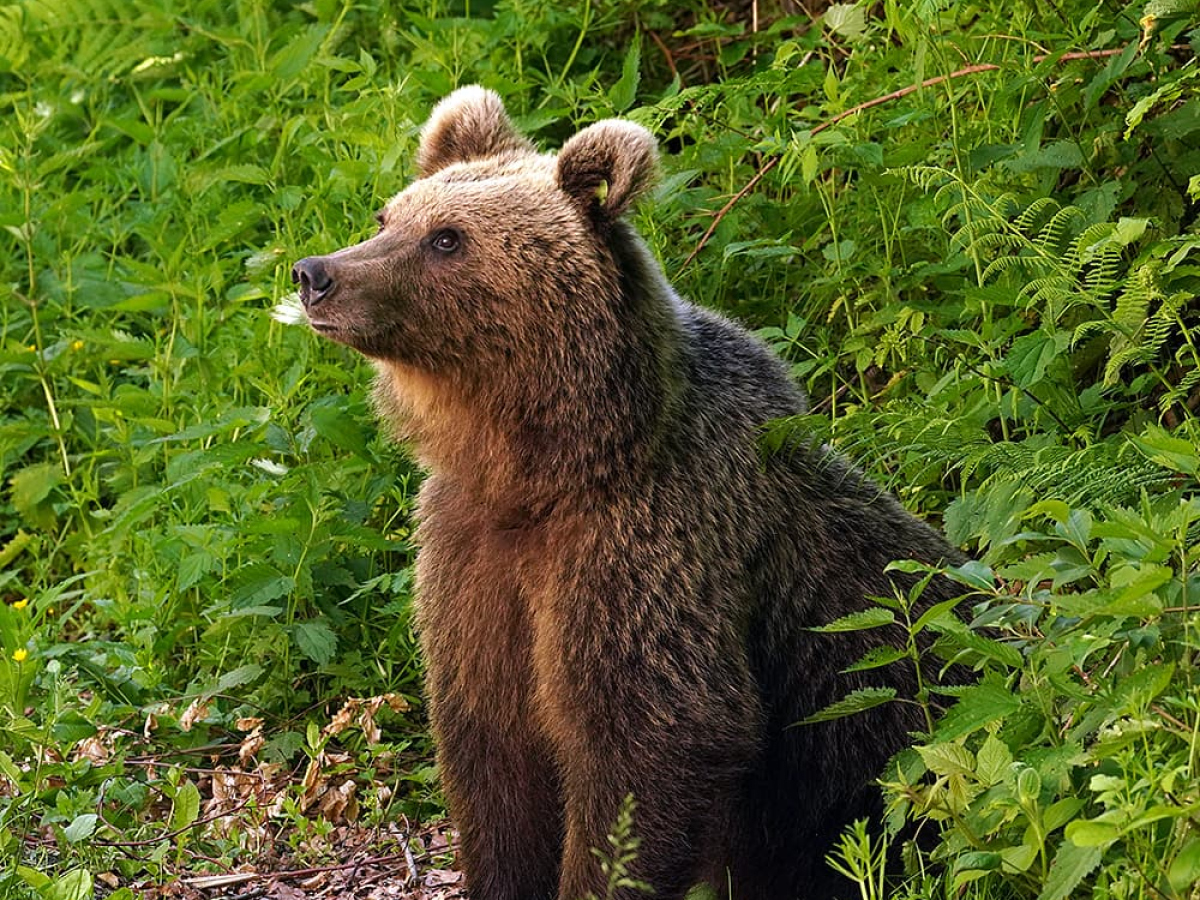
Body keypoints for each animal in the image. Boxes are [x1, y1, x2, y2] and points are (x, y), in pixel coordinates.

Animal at [290, 86, 964, 900]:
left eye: (447, 239)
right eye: (389, 217)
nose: (316, 273)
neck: (540, 466)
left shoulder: (643, 544)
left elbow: (650, 741)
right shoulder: (471, 553)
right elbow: (492, 749)